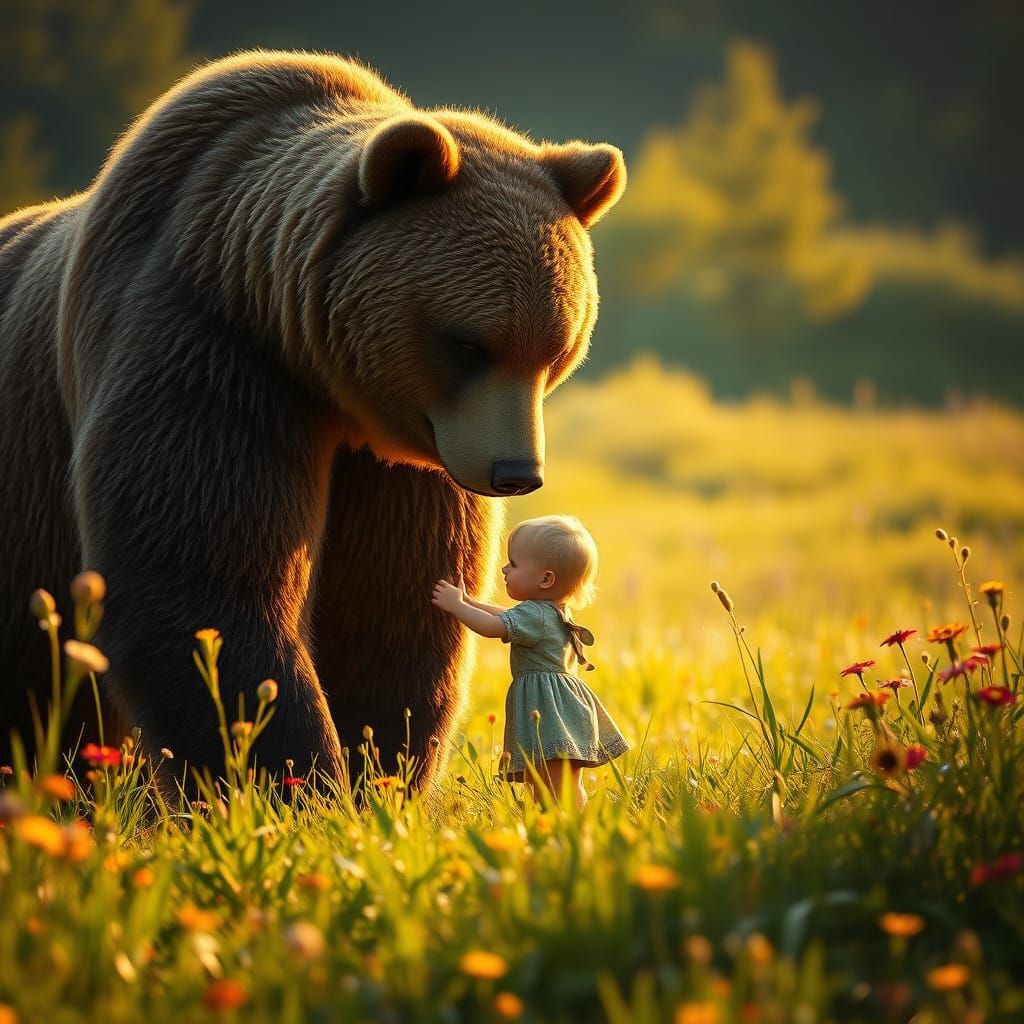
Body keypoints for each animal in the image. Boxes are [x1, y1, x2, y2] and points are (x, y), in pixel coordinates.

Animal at [0, 50, 626, 791]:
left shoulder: (405, 457)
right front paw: (288, 776)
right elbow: (204, 576)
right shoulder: (208, 358)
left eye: (558, 348)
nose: (515, 472)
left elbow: (389, 608)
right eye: (470, 344)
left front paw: (378, 767)